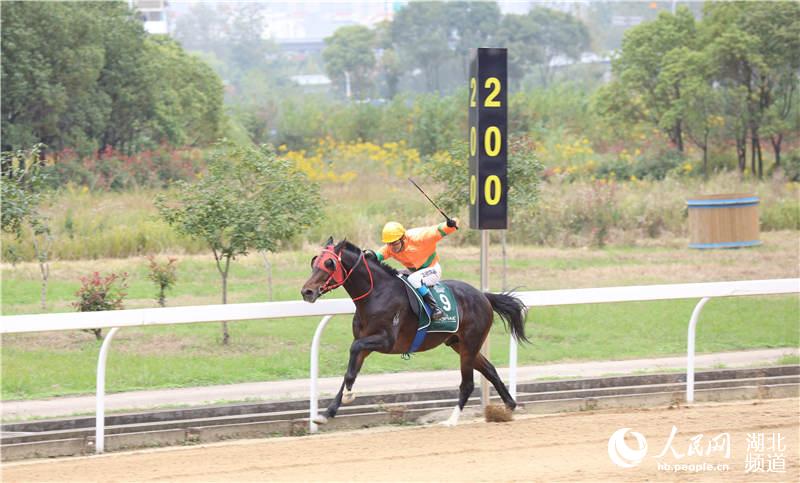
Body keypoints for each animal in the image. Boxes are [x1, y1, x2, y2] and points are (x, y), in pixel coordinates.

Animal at [304, 238, 528, 428]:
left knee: (467, 383)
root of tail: (483, 296)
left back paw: (451, 420)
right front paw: (326, 413)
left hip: (469, 344)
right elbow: (349, 372)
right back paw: (508, 407)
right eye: (315, 262)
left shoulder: (385, 341)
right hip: (459, 344)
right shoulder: (365, 343)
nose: (306, 291)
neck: (376, 294)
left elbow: (353, 351)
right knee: (490, 370)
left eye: (329, 264)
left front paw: (348, 395)